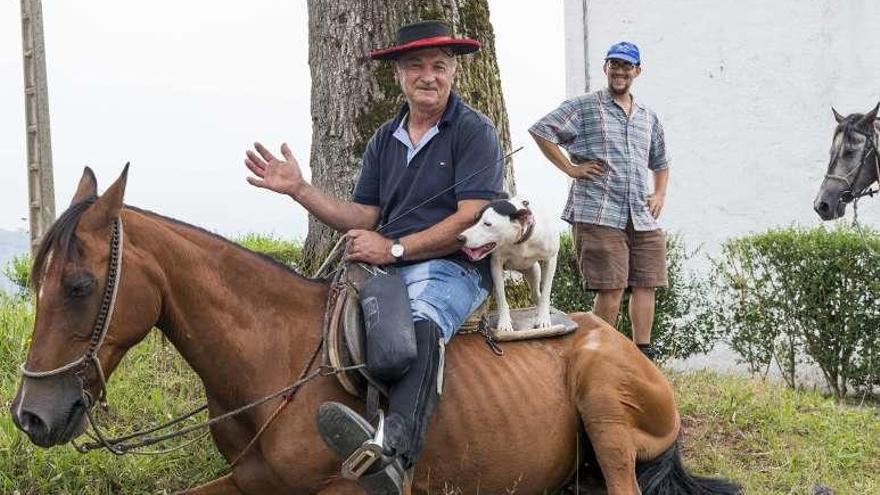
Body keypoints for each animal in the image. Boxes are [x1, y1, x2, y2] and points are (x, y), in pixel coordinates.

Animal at [458, 198, 560, 334]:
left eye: (487, 224)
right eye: (475, 220)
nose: (460, 238)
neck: (519, 241)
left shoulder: (551, 259)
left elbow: (546, 292)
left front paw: (543, 318)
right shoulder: (496, 264)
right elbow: (501, 297)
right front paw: (504, 323)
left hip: (534, 270)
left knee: (536, 293)